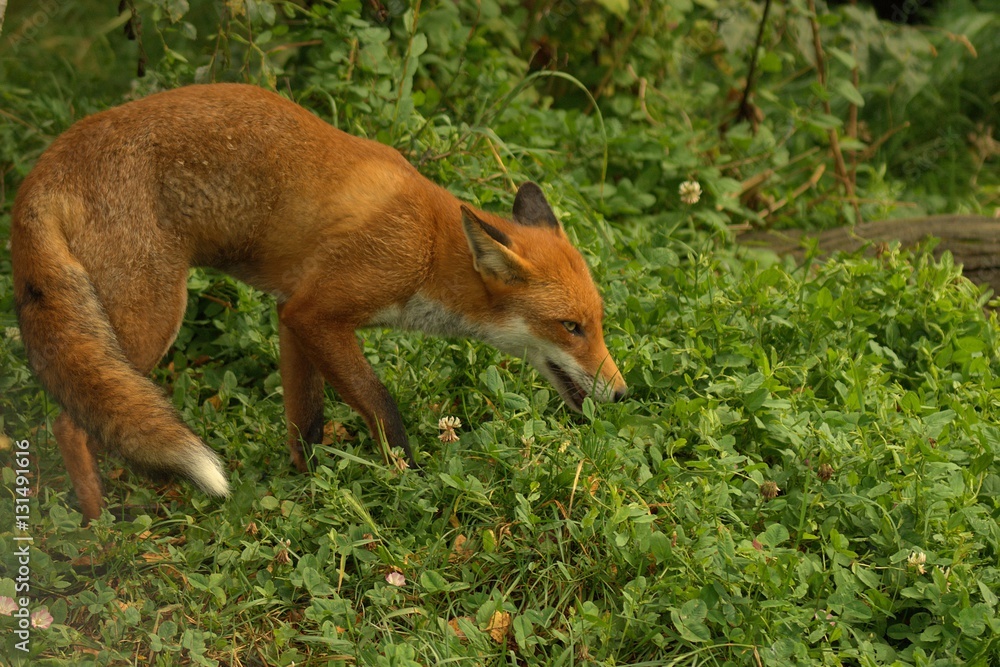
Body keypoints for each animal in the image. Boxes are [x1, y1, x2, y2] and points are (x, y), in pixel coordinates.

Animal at [11, 83, 627, 522]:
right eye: (570, 327)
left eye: (598, 324)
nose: (623, 395)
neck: (429, 246)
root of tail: (40, 172)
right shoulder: (320, 312)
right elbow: (381, 405)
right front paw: (408, 478)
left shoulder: (292, 314)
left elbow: (305, 419)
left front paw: (306, 487)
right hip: (151, 321)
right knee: (68, 424)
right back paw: (100, 531)